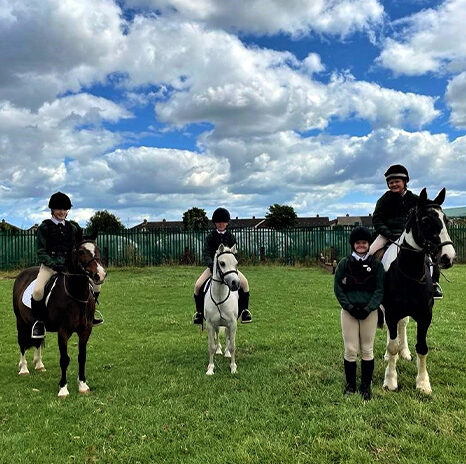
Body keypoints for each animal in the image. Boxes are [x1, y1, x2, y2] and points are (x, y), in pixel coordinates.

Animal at [12, 237, 107, 396]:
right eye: (81, 252)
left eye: (97, 249)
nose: (100, 274)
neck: (75, 295)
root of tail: (22, 274)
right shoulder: (63, 332)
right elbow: (64, 359)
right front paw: (63, 389)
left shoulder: (86, 330)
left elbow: (82, 357)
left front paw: (83, 385)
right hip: (20, 321)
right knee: (22, 344)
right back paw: (24, 369)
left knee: (37, 341)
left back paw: (39, 365)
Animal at [205, 245, 240, 376]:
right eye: (222, 263)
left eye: (236, 263)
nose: (235, 283)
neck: (220, 296)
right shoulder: (210, 324)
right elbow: (211, 346)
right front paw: (210, 369)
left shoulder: (233, 323)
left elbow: (233, 345)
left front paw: (233, 368)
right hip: (216, 325)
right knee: (218, 335)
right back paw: (219, 350)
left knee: (228, 336)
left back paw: (227, 353)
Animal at [382, 188, 456, 396]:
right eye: (425, 221)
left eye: (445, 220)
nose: (448, 257)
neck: (409, 273)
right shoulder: (391, 312)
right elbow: (392, 345)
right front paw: (390, 380)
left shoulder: (425, 315)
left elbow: (422, 348)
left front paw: (423, 384)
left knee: (403, 326)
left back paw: (405, 353)